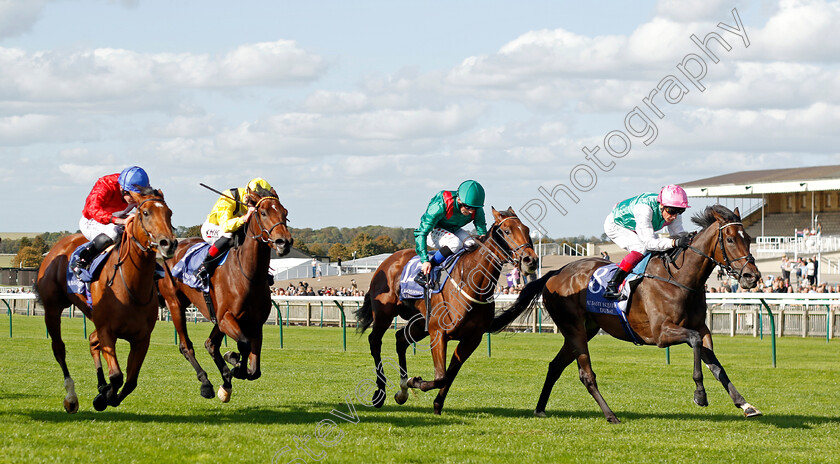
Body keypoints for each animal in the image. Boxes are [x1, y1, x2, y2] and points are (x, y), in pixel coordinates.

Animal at [36, 188, 177, 414]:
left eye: (169, 213)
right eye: (145, 213)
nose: (169, 243)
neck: (130, 286)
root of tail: (58, 246)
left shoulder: (141, 339)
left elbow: (130, 381)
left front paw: (105, 393)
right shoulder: (107, 331)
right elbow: (117, 376)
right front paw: (104, 396)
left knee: (92, 341)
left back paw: (100, 386)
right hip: (53, 308)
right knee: (59, 348)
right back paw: (71, 397)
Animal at [158, 185, 292, 402]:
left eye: (285, 213)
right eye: (263, 213)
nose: (284, 242)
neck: (248, 274)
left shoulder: (255, 323)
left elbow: (255, 370)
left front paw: (234, 366)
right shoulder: (227, 317)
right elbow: (244, 345)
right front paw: (235, 363)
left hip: (215, 316)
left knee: (210, 344)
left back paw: (226, 382)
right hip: (175, 303)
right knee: (186, 346)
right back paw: (207, 384)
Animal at [354, 208, 540, 416]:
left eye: (526, 229)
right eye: (506, 231)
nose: (531, 260)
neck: (471, 285)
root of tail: (387, 261)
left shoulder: (471, 339)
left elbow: (450, 374)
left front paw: (435, 403)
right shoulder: (438, 333)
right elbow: (441, 376)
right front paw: (417, 382)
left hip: (420, 321)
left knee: (401, 339)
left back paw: (402, 390)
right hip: (384, 313)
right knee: (375, 342)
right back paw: (379, 393)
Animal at [492, 205, 760, 422]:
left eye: (748, 238)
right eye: (730, 239)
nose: (752, 276)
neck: (679, 278)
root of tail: (556, 272)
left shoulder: (702, 329)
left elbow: (716, 365)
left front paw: (745, 404)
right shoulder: (661, 334)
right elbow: (694, 342)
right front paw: (700, 394)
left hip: (584, 330)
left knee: (555, 366)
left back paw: (540, 408)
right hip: (574, 329)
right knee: (586, 374)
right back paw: (610, 415)